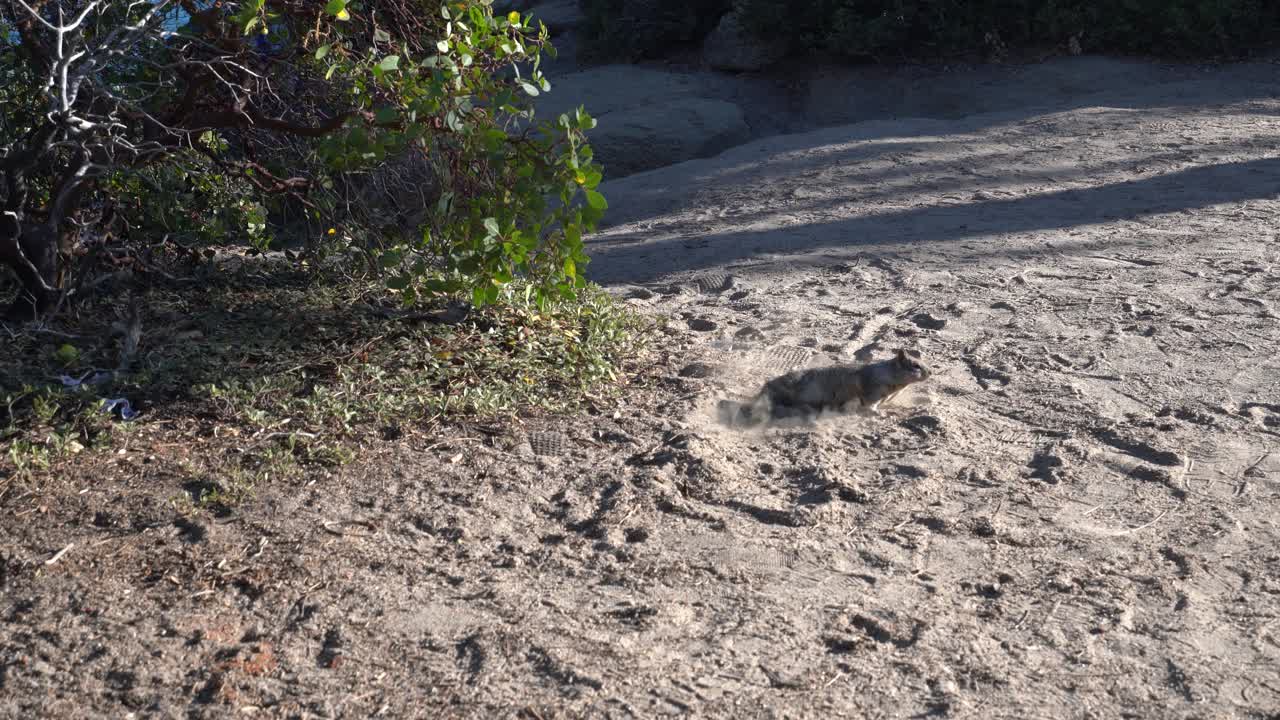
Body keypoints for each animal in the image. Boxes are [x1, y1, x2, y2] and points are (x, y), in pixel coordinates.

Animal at [720, 348, 931, 427]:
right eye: (915, 365)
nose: (930, 372)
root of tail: (762, 392)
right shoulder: (872, 394)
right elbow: (870, 408)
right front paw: (885, 414)